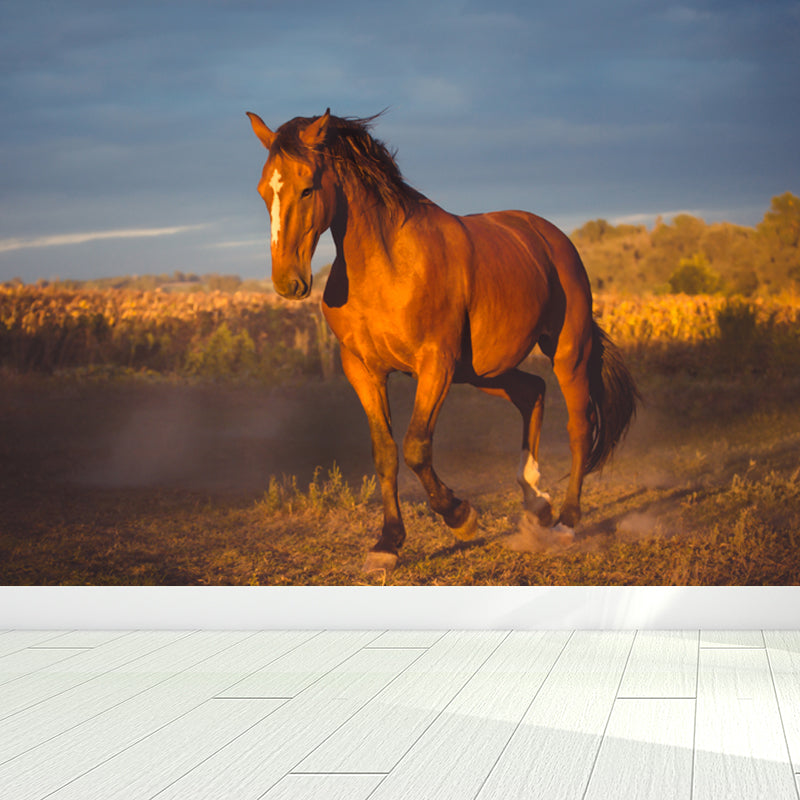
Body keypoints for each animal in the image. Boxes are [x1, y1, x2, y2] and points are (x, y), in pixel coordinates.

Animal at [247, 109, 638, 573]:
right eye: (263, 190)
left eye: (307, 187)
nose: (288, 282)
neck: (387, 265)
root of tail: (551, 237)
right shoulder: (363, 370)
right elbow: (385, 452)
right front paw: (387, 544)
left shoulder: (435, 364)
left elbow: (416, 447)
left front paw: (461, 517)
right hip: (484, 371)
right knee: (533, 393)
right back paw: (536, 503)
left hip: (566, 353)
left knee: (579, 426)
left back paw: (565, 521)